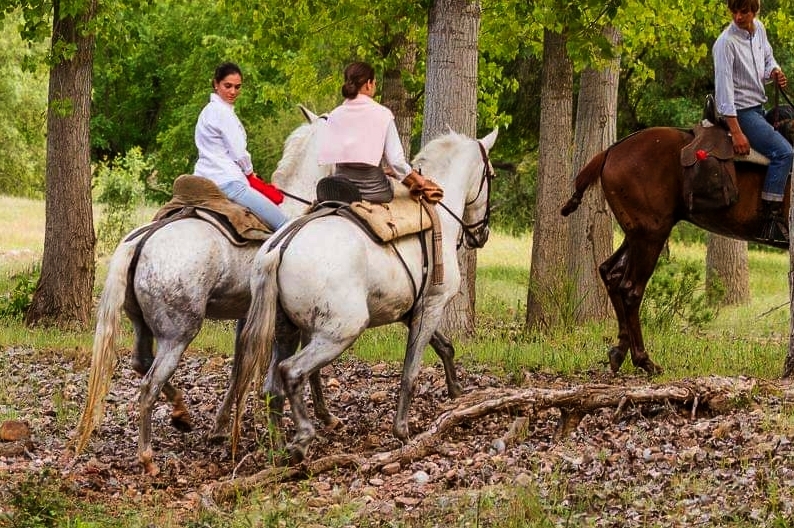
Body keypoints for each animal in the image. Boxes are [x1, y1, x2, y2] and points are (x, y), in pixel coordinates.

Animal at [556, 127, 784, 376]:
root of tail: (609, 152)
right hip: (651, 235)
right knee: (630, 289)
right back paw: (644, 360)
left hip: (637, 235)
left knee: (611, 272)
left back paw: (619, 352)